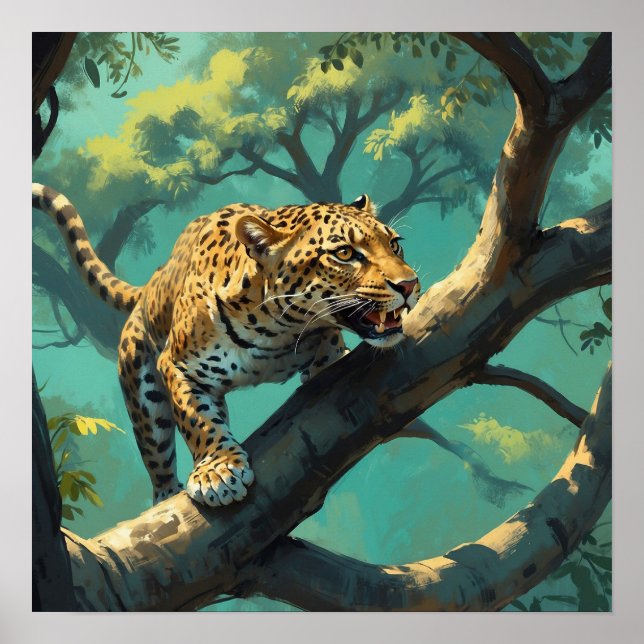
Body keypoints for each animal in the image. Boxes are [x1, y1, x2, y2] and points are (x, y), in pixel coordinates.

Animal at [32, 184, 420, 507]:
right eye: (344, 253)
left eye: (395, 244)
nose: (409, 284)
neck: (278, 329)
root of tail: (154, 281)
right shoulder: (177, 366)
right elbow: (197, 419)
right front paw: (217, 472)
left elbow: (328, 358)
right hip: (144, 395)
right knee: (158, 457)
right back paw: (166, 494)